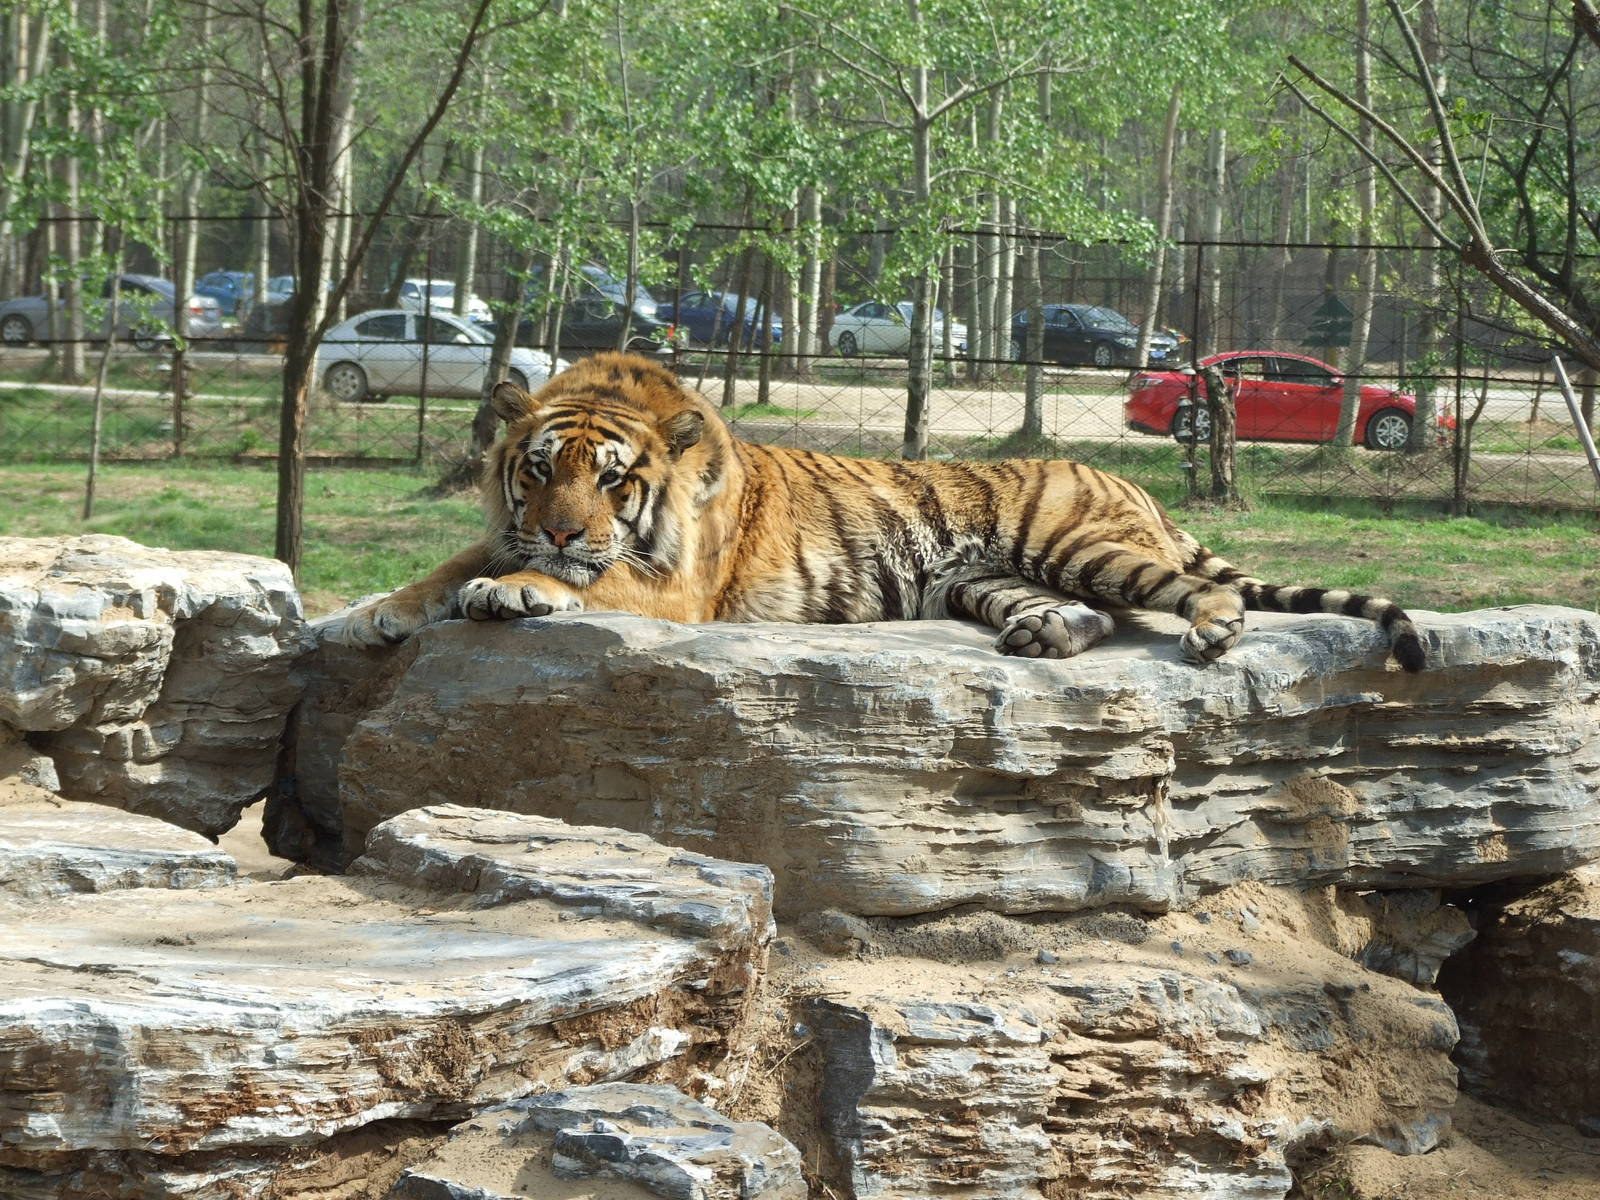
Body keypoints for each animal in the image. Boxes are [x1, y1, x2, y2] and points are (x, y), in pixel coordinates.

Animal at [333, 351, 1425, 674]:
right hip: (985, 578)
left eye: (611, 481)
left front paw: (516, 589)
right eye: (539, 470)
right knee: (1088, 615)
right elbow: (443, 565)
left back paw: (1214, 632)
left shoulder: (669, 583)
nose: (562, 528)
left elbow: (566, 580)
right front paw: (373, 612)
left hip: (1075, 541)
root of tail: (1135, 483)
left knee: (1189, 589)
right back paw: (1049, 637)